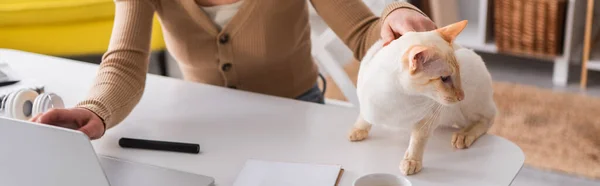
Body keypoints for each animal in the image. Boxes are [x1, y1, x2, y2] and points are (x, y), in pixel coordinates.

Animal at [346, 20, 496, 176]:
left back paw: (463, 136)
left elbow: (417, 140)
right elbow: (364, 117)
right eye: (444, 78)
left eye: (457, 75)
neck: (400, 98)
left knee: (488, 118)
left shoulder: (428, 119)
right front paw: (357, 130)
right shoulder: (367, 104)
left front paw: (411, 161)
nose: (462, 96)